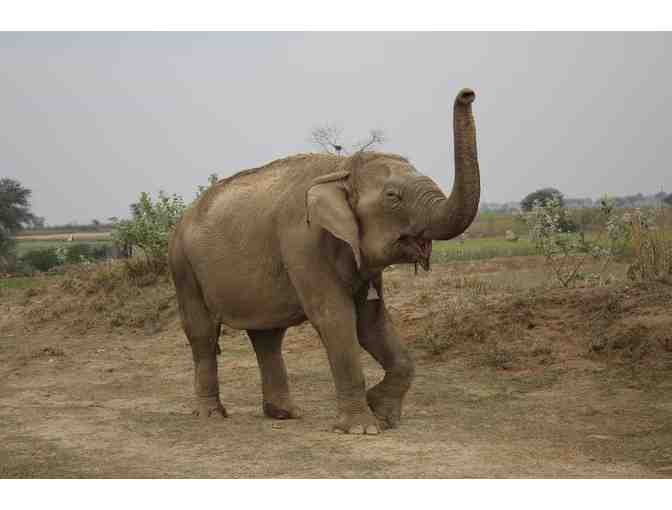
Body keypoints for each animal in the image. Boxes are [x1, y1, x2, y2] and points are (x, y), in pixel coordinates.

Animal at [168, 88, 481, 435]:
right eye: (392, 197)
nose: (467, 93)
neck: (342, 168)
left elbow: (371, 320)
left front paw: (383, 414)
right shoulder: (302, 241)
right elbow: (336, 316)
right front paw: (362, 428)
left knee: (267, 336)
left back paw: (285, 414)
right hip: (183, 266)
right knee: (203, 333)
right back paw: (212, 415)